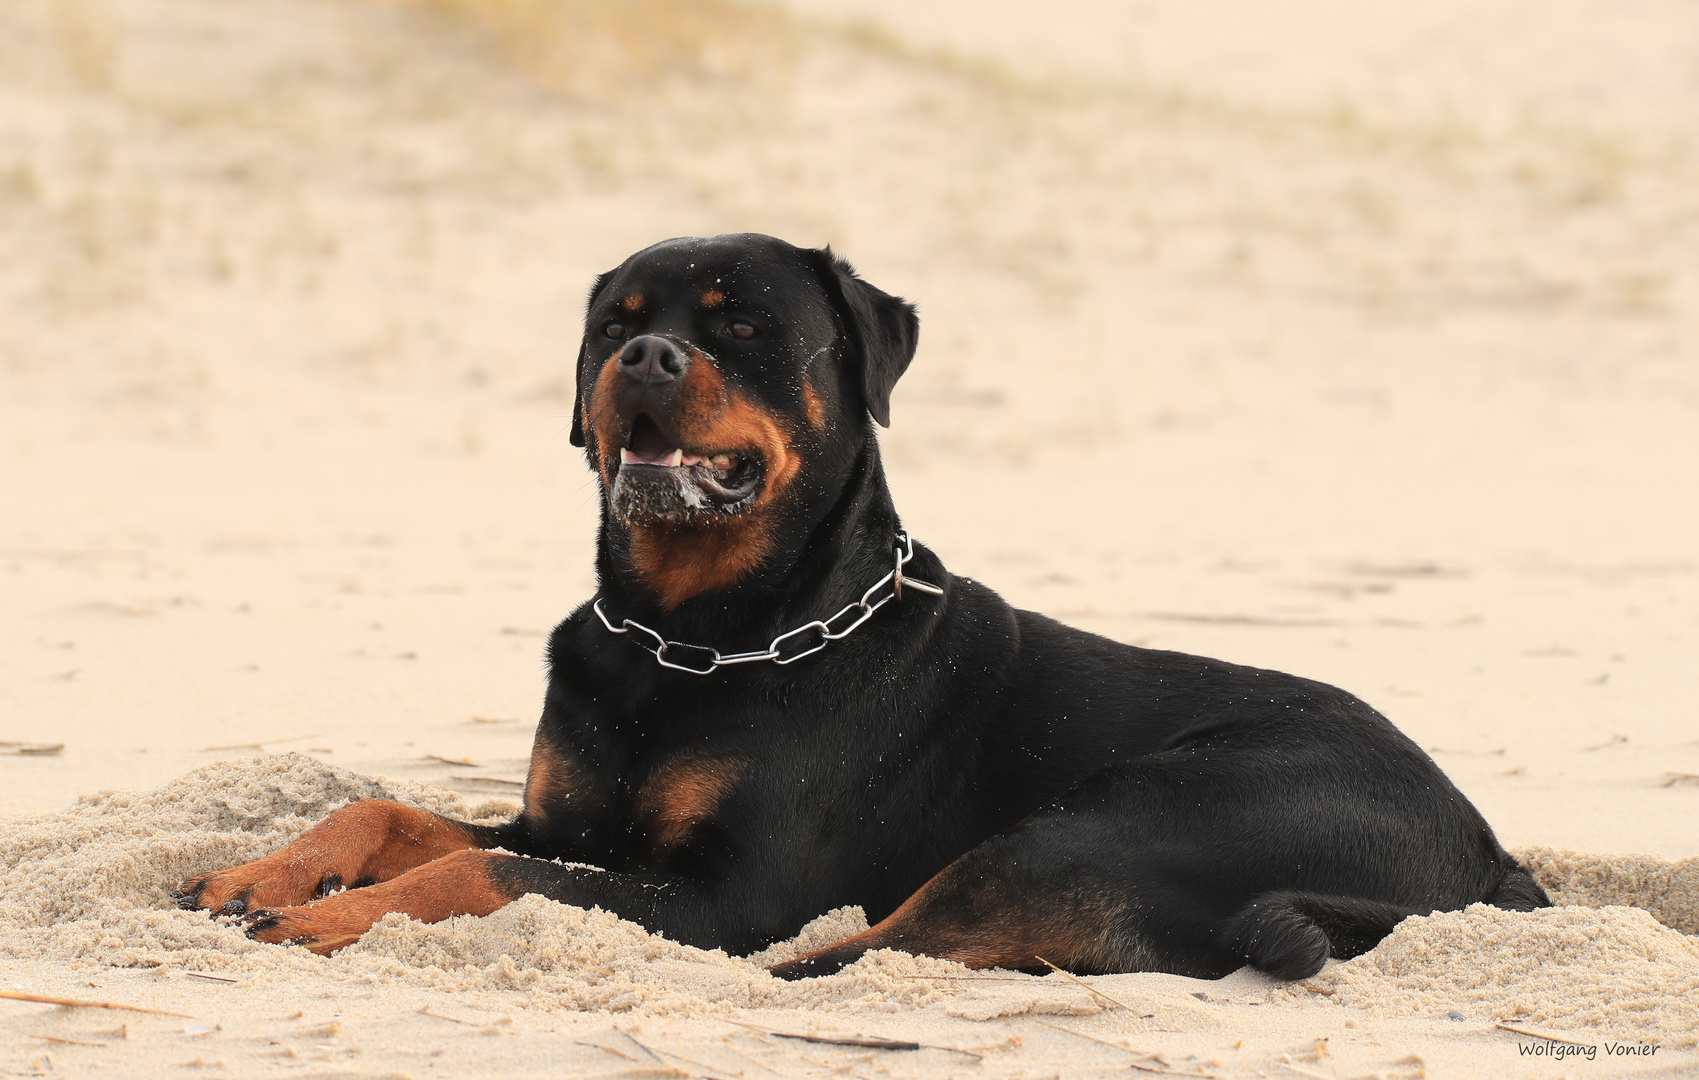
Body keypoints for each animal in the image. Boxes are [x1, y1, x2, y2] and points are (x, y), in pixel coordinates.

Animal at [175, 234, 1556, 978]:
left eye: (744, 327)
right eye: (613, 323)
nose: (647, 358)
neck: (691, 636)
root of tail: (1487, 853)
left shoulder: (720, 892)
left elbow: (479, 875)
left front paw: (326, 918)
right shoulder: (571, 821)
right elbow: (395, 812)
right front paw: (258, 876)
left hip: (1127, 809)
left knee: (882, 942)